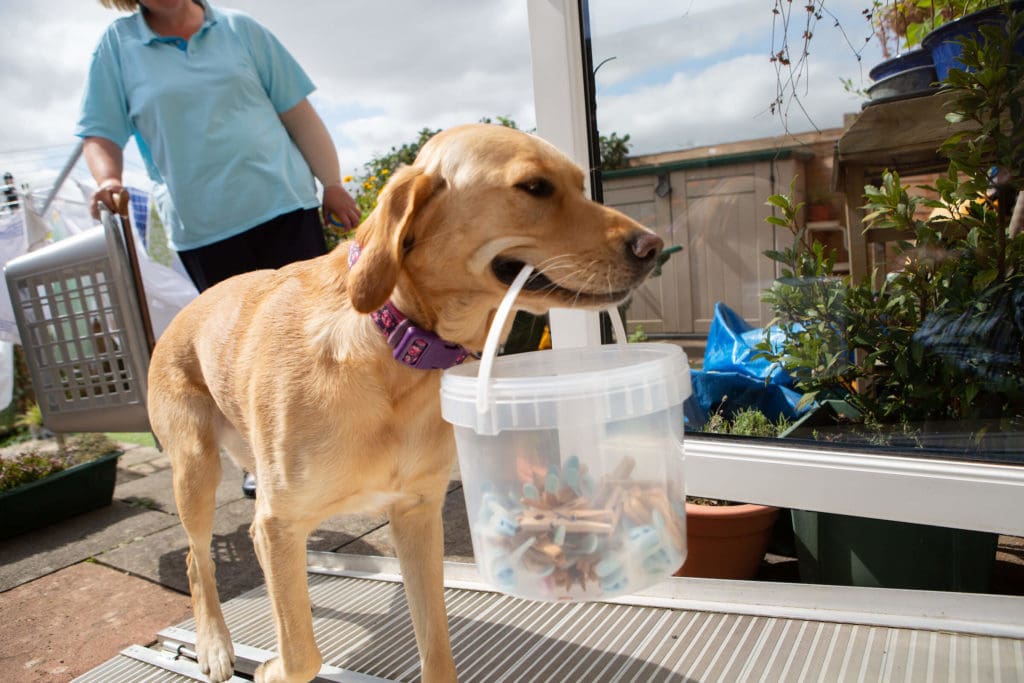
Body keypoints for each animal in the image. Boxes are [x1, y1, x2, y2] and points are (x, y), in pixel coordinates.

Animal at [149, 124, 663, 683]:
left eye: (579, 185)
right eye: (534, 188)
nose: (653, 246)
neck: (395, 343)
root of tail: (184, 311)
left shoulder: (417, 515)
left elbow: (435, 647)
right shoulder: (282, 523)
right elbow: (302, 653)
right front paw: (270, 670)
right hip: (195, 473)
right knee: (197, 561)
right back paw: (214, 645)